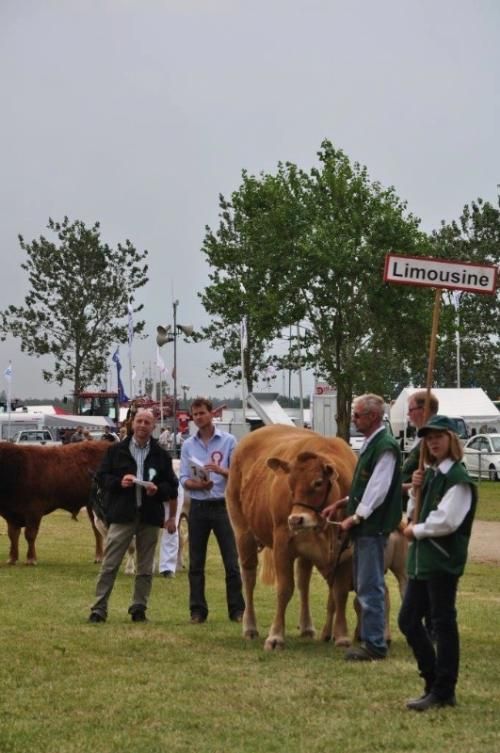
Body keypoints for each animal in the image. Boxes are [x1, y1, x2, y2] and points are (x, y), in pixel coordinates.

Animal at [227, 426, 360, 648]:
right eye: (289, 483)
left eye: (318, 483)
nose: (296, 519)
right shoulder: (282, 542)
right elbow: (284, 589)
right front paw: (275, 636)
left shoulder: (346, 550)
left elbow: (340, 592)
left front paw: (341, 636)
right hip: (243, 531)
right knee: (248, 577)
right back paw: (250, 627)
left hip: (305, 552)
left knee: (303, 582)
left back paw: (306, 627)